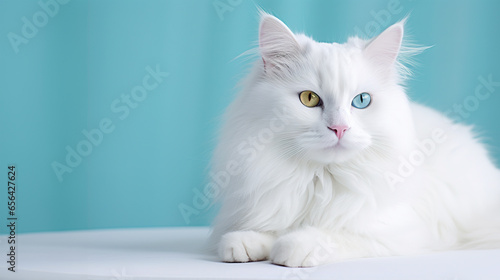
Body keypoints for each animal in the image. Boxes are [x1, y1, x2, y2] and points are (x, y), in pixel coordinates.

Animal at [208, 13, 500, 266]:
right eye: (309, 99)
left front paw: (293, 246)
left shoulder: (400, 231)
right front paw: (245, 242)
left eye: (361, 101)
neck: (320, 180)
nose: (339, 128)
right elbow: (263, 229)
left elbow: (335, 234)